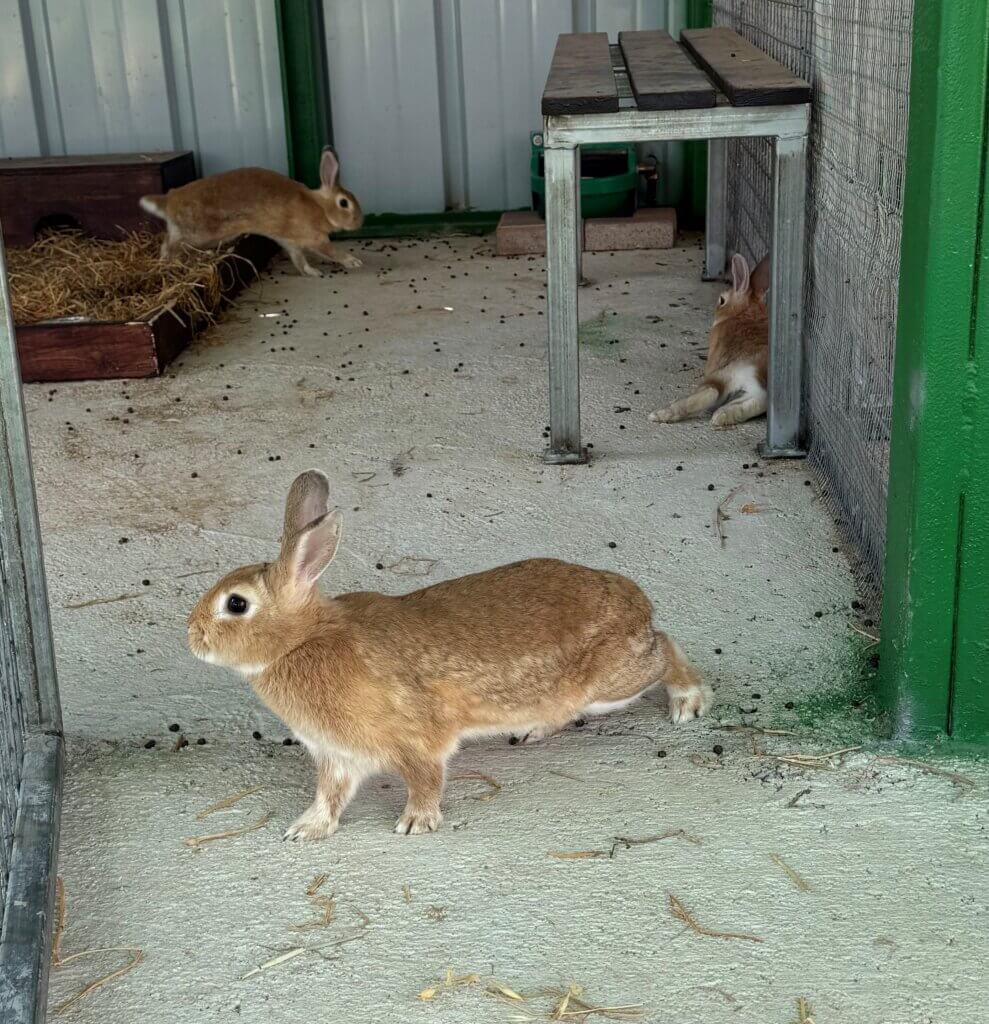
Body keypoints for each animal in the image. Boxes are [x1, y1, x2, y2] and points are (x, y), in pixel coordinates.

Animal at [139, 147, 363, 276]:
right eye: (344, 203)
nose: (360, 222)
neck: (321, 208)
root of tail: (169, 200)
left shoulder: (290, 243)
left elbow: (299, 261)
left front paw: (313, 272)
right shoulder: (315, 239)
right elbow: (332, 251)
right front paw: (353, 261)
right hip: (196, 234)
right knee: (168, 247)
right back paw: (165, 265)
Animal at [187, 470, 711, 841]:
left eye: (236, 605)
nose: (192, 636)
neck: (302, 639)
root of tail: (637, 603)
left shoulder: (414, 740)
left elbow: (425, 781)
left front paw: (415, 823)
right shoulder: (338, 757)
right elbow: (329, 798)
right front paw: (306, 830)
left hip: (615, 680)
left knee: (665, 649)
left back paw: (689, 701)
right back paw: (533, 731)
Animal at [649, 253, 770, 429]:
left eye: (722, 300)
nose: (716, 310)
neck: (745, 314)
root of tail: (760, 370)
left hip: (724, 373)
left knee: (712, 392)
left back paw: (661, 414)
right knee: (760, 399)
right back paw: (724, 415)